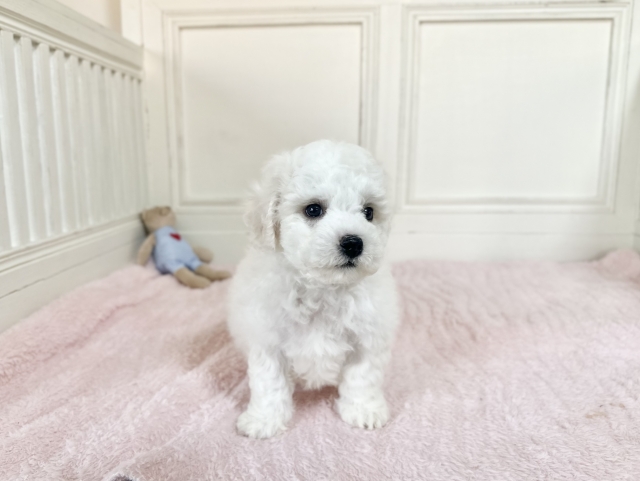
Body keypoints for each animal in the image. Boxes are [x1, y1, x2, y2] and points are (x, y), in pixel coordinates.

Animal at [227, 140, 399, 439]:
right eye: (313, 210)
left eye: (369, 212)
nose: (354, 243)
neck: (323, 288)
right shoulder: (267, 338)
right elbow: (269, 382)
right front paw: (264, 420)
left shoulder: (368, 336)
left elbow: (363, 377)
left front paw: (363, 410)